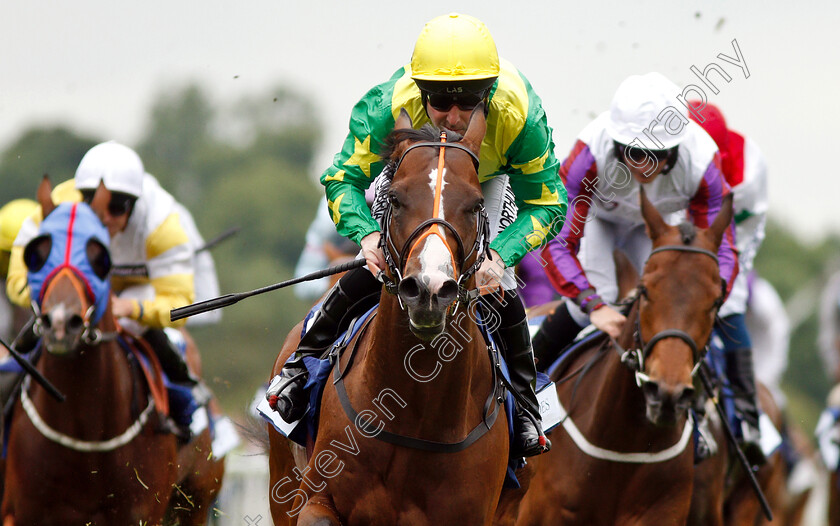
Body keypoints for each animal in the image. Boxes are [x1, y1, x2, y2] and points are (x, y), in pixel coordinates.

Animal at [0, 179, 223, 524]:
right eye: (36, 255)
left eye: (98, 257)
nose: (61, 321)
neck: (85, 431)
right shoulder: (20, 512)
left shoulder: (141, 513)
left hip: (195, 502)